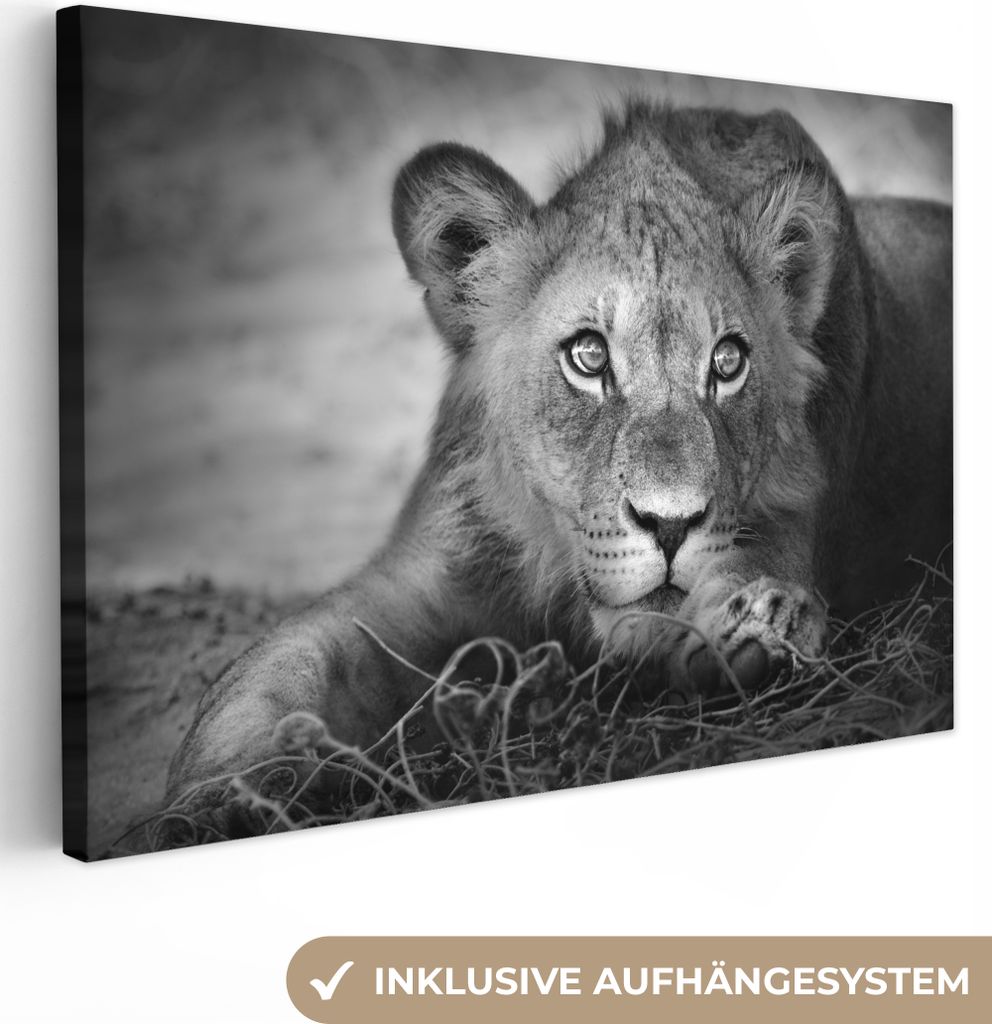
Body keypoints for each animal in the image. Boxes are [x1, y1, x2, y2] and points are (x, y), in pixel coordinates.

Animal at [165, 101, 952, 811]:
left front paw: (762, 628)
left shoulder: (782, 520)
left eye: (727, 363)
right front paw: (220, 797)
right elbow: (275, 667)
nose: (671, 525)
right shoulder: (421, 573)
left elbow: (757, 572)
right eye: (588, 355)